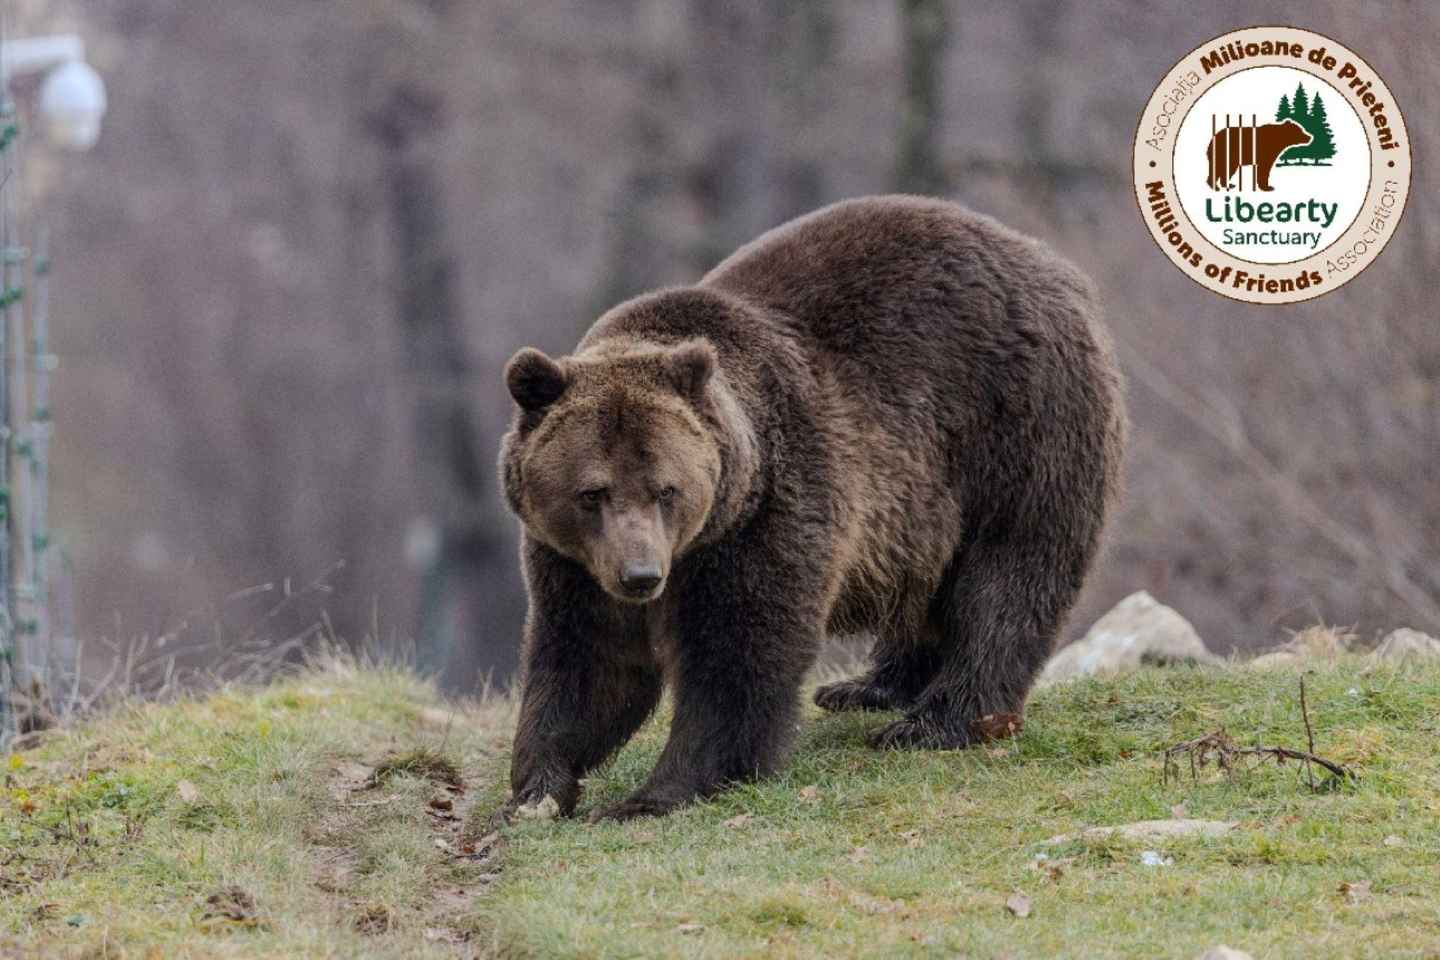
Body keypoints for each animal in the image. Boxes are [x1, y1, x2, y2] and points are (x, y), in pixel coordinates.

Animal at [499, 195, 1126, 822]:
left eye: (667, 489)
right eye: (592, 492)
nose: (641, 576)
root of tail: (1051, 263)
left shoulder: (769, 508)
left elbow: (740, 651)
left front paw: (654, 795)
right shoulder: (574, 560)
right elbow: (589, 660)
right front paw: (538, 788)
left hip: (1015, 423)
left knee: (1008, 574)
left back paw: (936, 720)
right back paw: (866, 687)